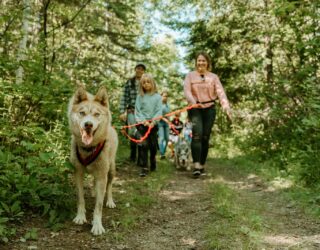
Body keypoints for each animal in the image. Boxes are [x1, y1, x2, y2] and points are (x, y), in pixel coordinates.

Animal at [68, 87, 118, 235]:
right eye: (82, 113)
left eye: (96, 114)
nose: (88, 124)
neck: (88, 148)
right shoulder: (78, 172)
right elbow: (80, 198)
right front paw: (80, 216)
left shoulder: (102, 175)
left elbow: (99, 206)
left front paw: (97, 225)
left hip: (111, 170)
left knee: (109, 186)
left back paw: (110, 201)